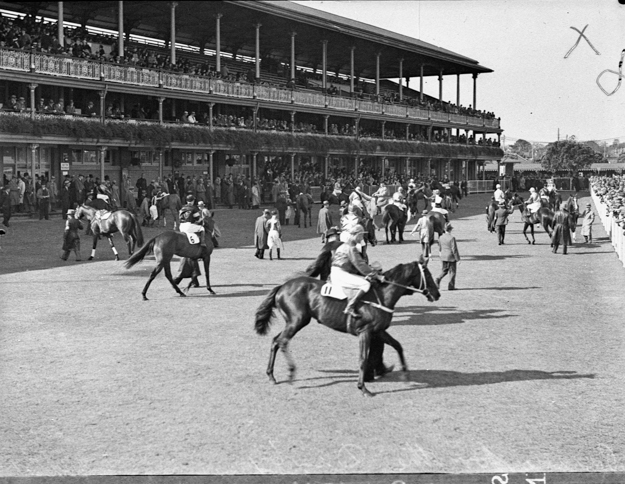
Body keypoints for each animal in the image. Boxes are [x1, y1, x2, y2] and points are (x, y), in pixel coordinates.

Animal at [254, 258, 438, 398]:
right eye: (428, 275)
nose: (437, 294)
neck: (382, 296)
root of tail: (282, 286)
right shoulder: (365, 332)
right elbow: (363, 359)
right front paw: (363, 388)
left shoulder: (378, 331)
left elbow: (397, 346)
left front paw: (405, 372)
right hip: (297, 321)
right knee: (282, 341)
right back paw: (291, 372)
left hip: (292, 322)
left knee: (275, 341)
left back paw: (271, 375)